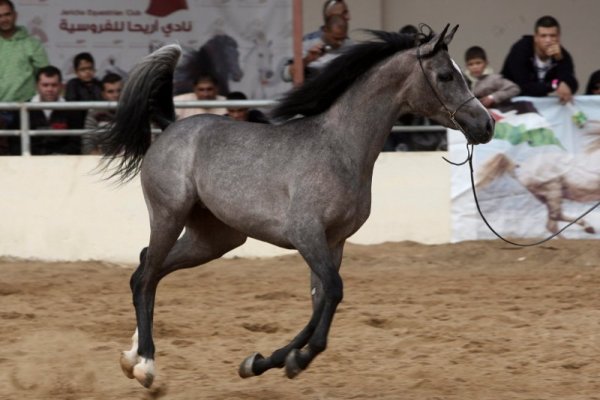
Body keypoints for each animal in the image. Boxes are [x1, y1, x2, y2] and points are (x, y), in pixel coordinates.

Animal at [97, 25, 492, 388]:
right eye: (445, 76)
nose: (485, 125)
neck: (340, 149)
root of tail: (170, 127)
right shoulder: (306, 234)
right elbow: (333, 291)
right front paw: (286, 361)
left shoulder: (334, 242)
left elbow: (322, 300)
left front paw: (266, 362)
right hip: (169, 215)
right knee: (146, 276)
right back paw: (146, 365)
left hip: (214, 239)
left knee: (148, 268)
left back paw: (131, 356)